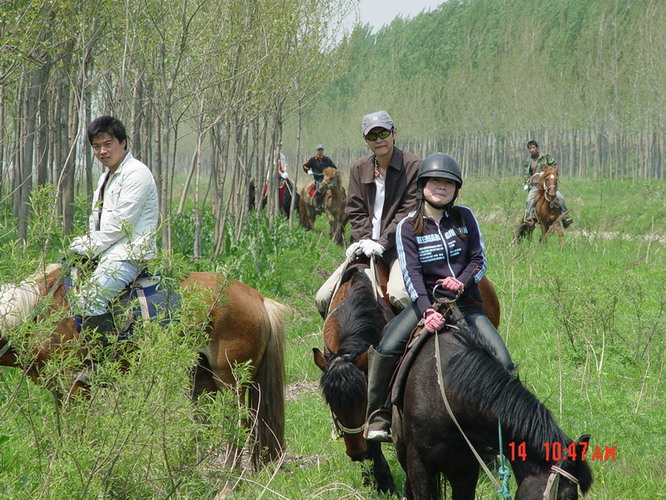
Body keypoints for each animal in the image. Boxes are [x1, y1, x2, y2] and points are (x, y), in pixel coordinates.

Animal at [0, 264, 286, 466]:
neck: (38, 310)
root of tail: (258, 298)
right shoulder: (61, 390)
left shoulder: (76, 387)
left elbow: (76, 433)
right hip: (201, 377)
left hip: (230, 380)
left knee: (235, 428)